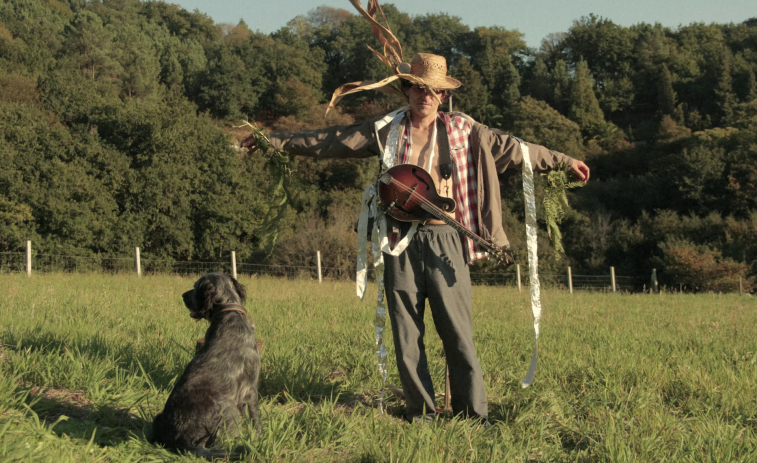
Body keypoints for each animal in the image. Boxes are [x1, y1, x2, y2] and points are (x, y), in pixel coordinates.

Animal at [151, 274, 262, 458]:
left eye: (195, 287)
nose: (183, 295)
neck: (229, 313)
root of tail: (179, 438)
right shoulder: (250, 390)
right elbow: (256, 420)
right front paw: (261, 438)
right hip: (228, 408)